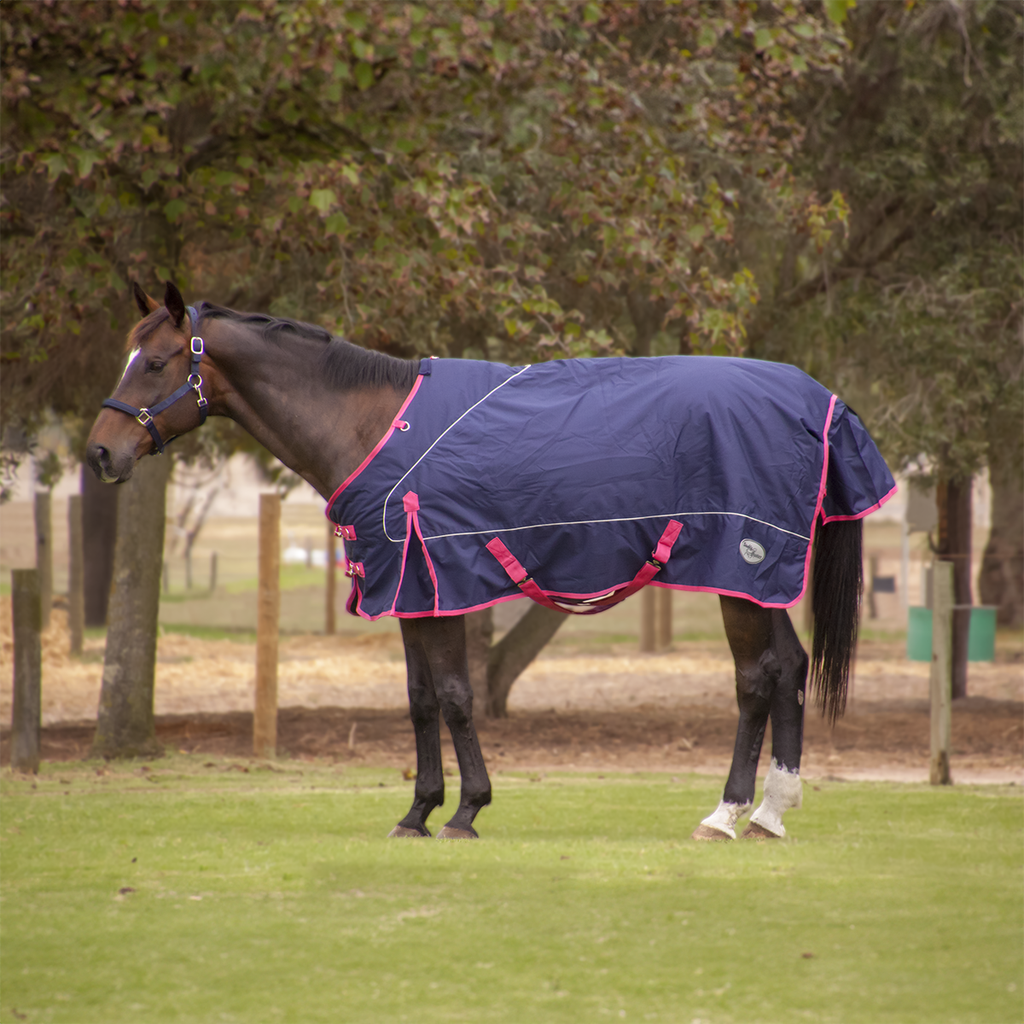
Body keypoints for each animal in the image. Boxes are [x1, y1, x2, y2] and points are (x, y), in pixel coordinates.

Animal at [87, 281, 896, 841]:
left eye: (153, 362)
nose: (99, 454)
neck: (373, 424)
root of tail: (819, 399)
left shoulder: (434, 579)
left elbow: (454, 695)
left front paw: (465, 811)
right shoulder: (407, 590)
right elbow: (419, 699)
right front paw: (417, 810)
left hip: (741, 570)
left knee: (757, 678)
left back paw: (726, 814)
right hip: (760, 581)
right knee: (789, 669)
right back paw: (771, 813)